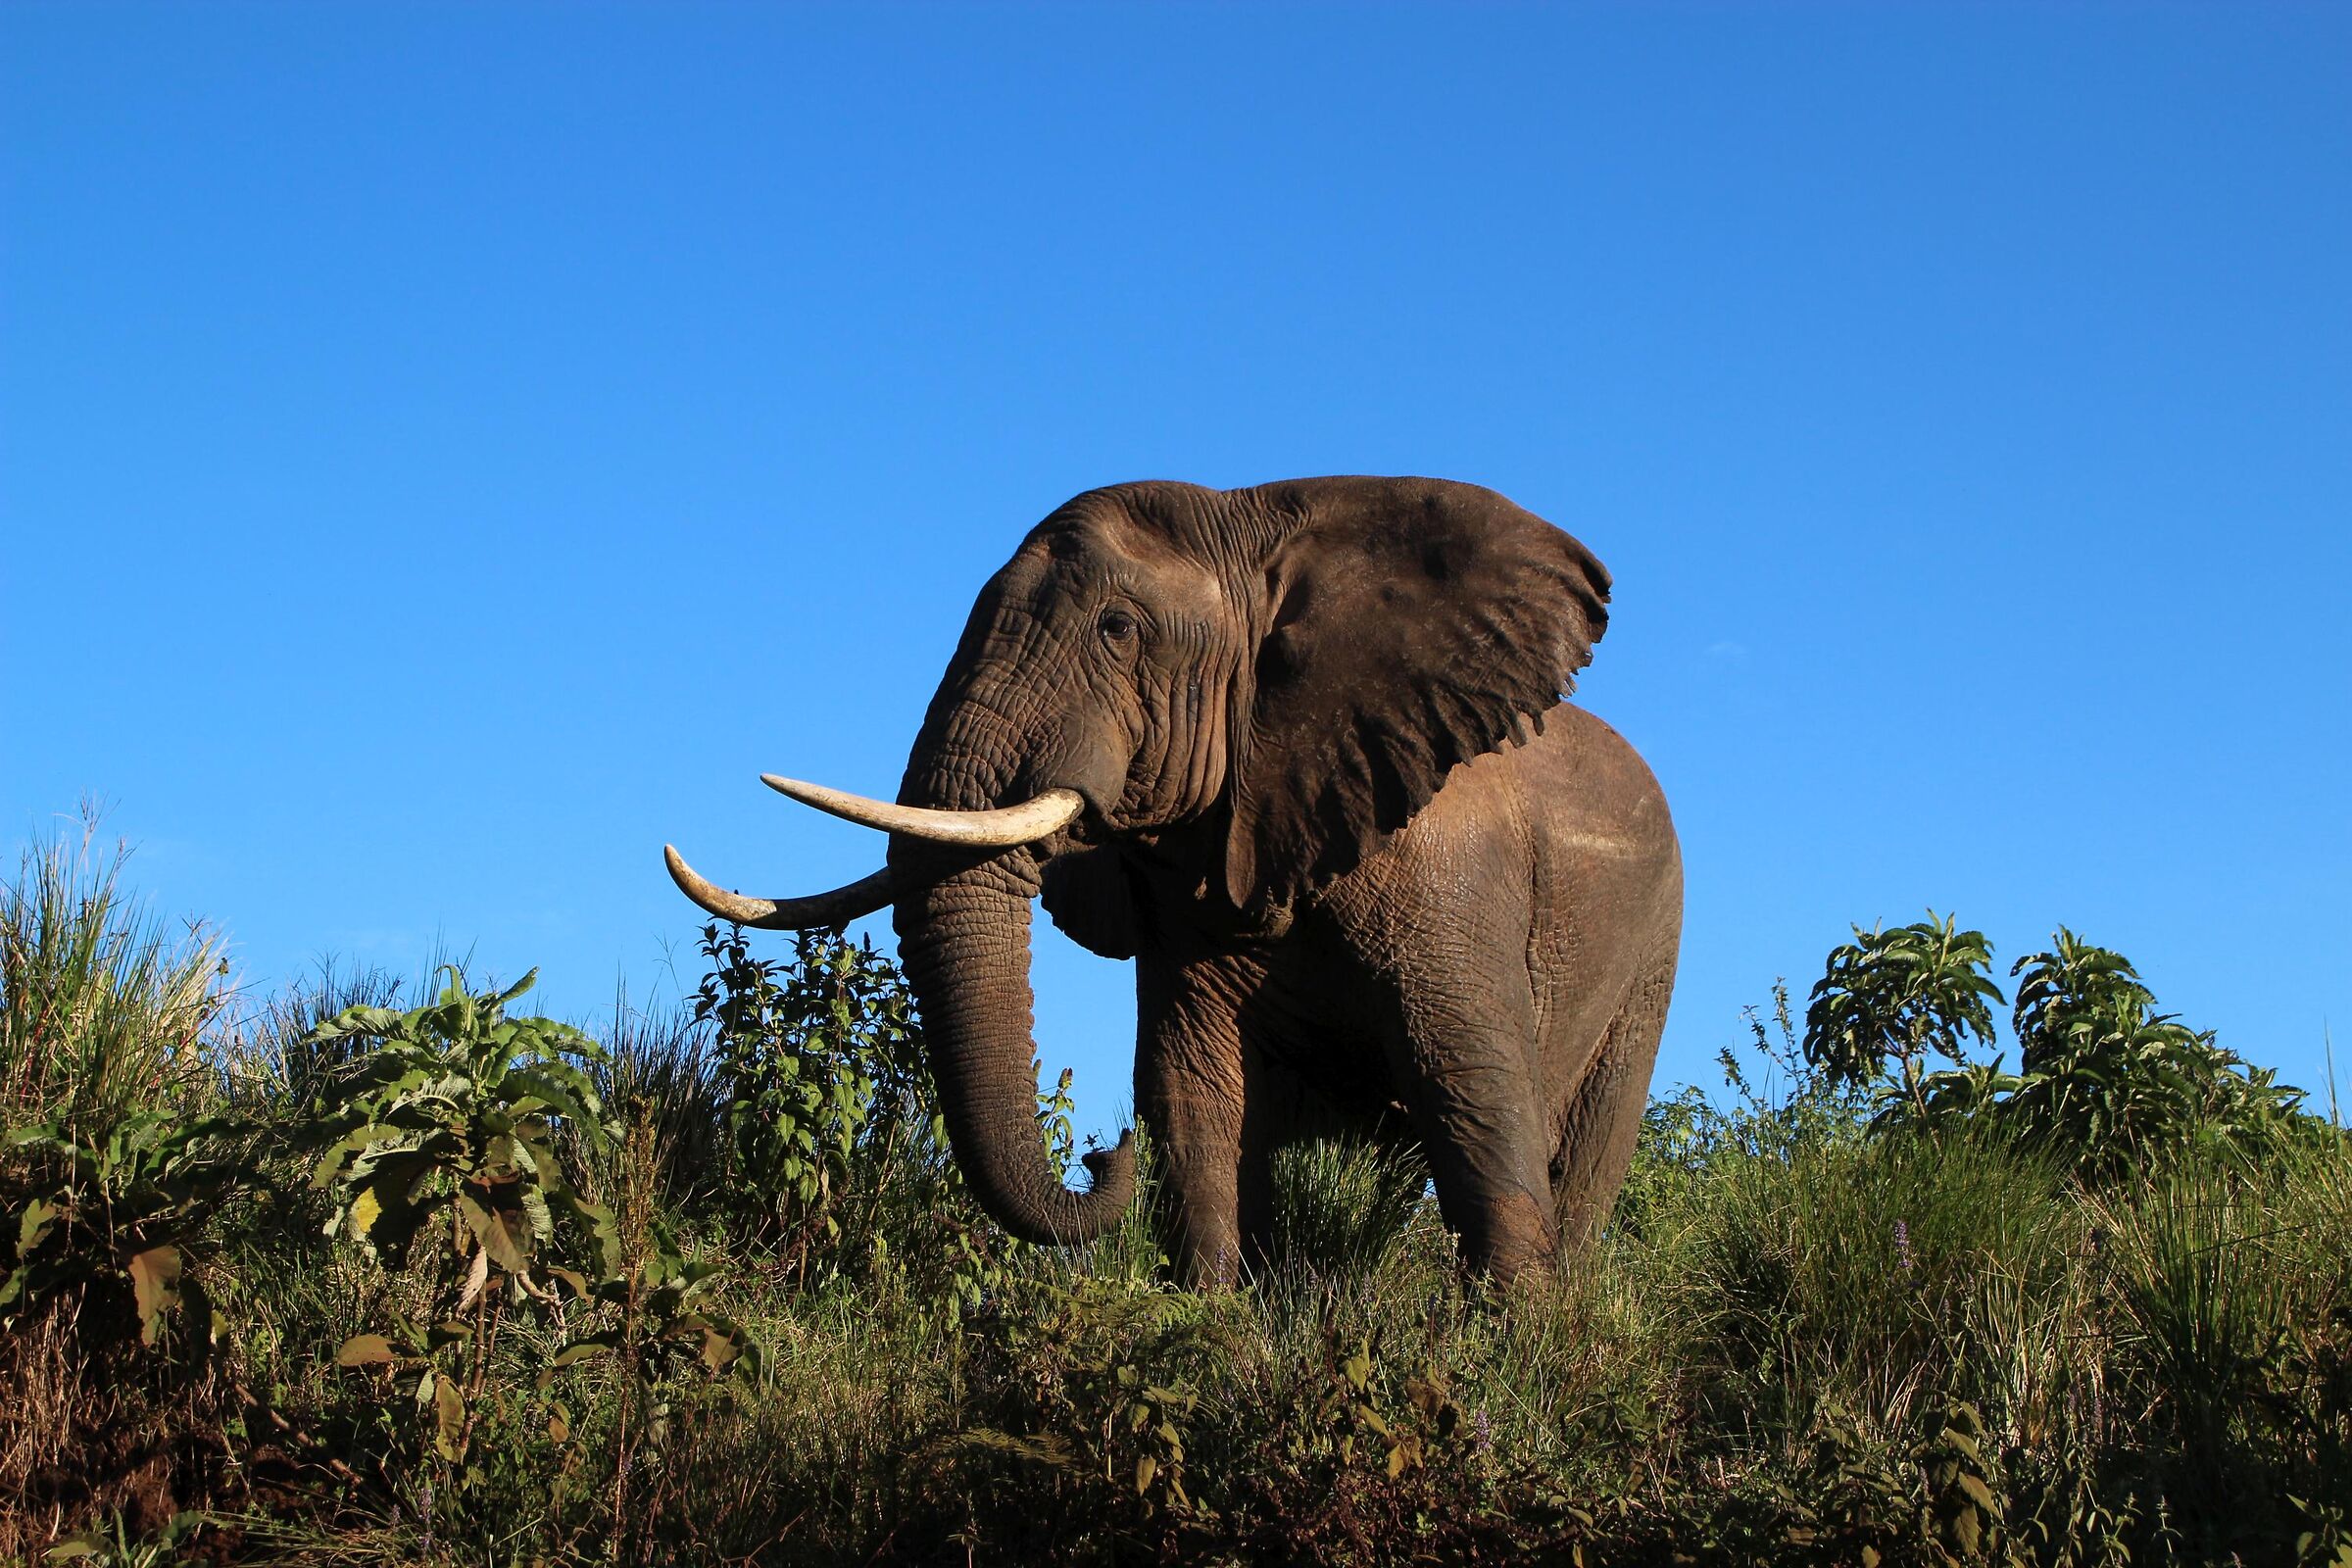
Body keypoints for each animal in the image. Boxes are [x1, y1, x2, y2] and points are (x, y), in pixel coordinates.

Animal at [664, 476, 1681, 1285]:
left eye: (1118, 630)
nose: (1099, 1153)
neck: (1266, 531)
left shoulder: (1451, 869)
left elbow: (1472, 1089)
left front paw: (1511, 1357)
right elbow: (1195, 1097)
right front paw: (1214, 1323)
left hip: (1653, 953)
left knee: (1579, 1157)